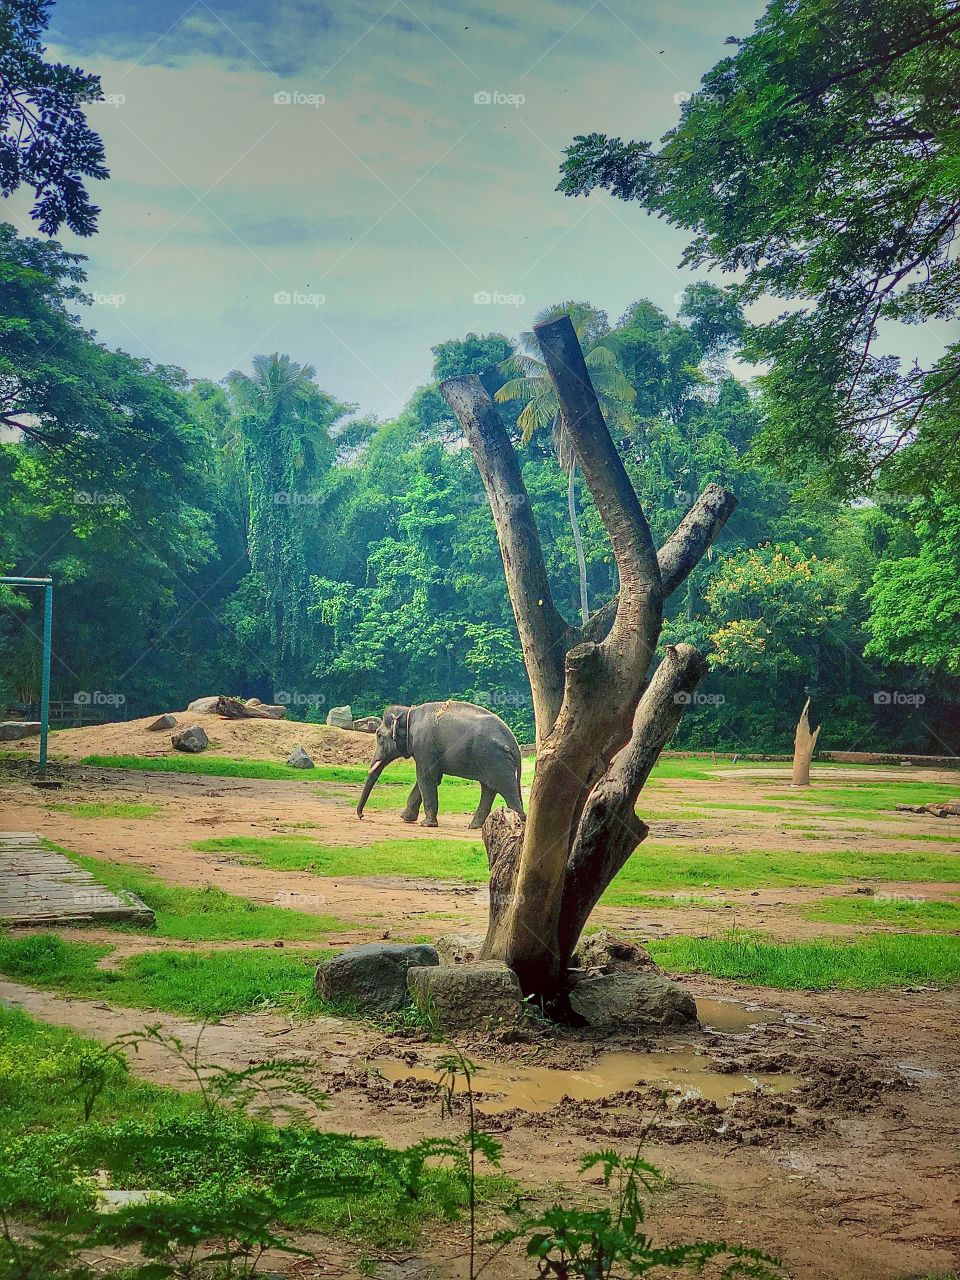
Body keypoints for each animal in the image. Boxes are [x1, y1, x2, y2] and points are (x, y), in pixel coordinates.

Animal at [356, 700, 525, 828]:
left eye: (379, 736)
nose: (362, 815)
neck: (409, 711)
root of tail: (513, 741)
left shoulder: (424, 747)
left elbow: (426, 777)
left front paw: (426, 824)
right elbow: (431, 778)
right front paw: (405, 817)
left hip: (495, 758)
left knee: (506, 789)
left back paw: (519, 823)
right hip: (489, 759)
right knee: (489, 788)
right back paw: (474, 826)